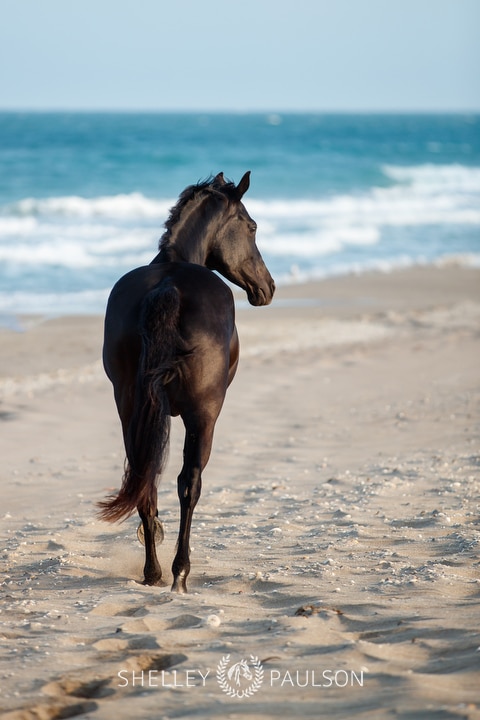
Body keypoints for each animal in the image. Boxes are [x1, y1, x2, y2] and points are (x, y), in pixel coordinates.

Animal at [98, 173, 274, 592]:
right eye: (253, 227)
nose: (268, 287)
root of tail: (169, 288)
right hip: (203, 414)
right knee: (188, 483)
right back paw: (179, 572)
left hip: (129, 407)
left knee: (144, 480)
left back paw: (152, 572)